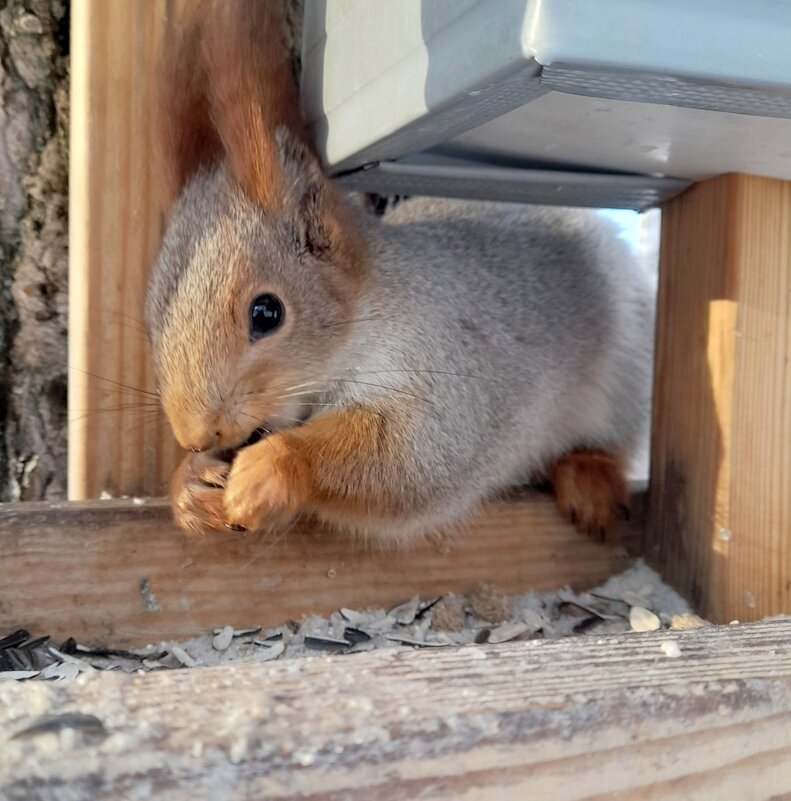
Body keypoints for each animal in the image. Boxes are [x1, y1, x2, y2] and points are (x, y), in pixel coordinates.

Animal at [145, 0, 652, 540]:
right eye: (150, 318)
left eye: (267, 312)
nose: (198, 436)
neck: (362, 323)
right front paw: (190, 485)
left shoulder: (452, 370)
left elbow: (410, 457)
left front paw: (272, 469)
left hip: (628, 369)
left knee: (611, 440)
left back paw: (588, 474)